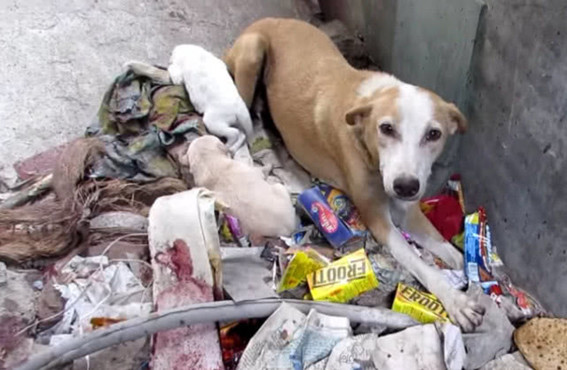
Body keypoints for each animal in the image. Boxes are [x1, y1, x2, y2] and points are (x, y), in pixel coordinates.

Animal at [224, 17, 486, 330]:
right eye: (386, 128)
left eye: (434, 134)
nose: (405, 187)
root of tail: (267, 20)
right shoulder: (379, 221)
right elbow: (421, 264)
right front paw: (456, 300)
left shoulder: (408, 209)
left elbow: (444, 247)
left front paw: (468, 269)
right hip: (252, 53)